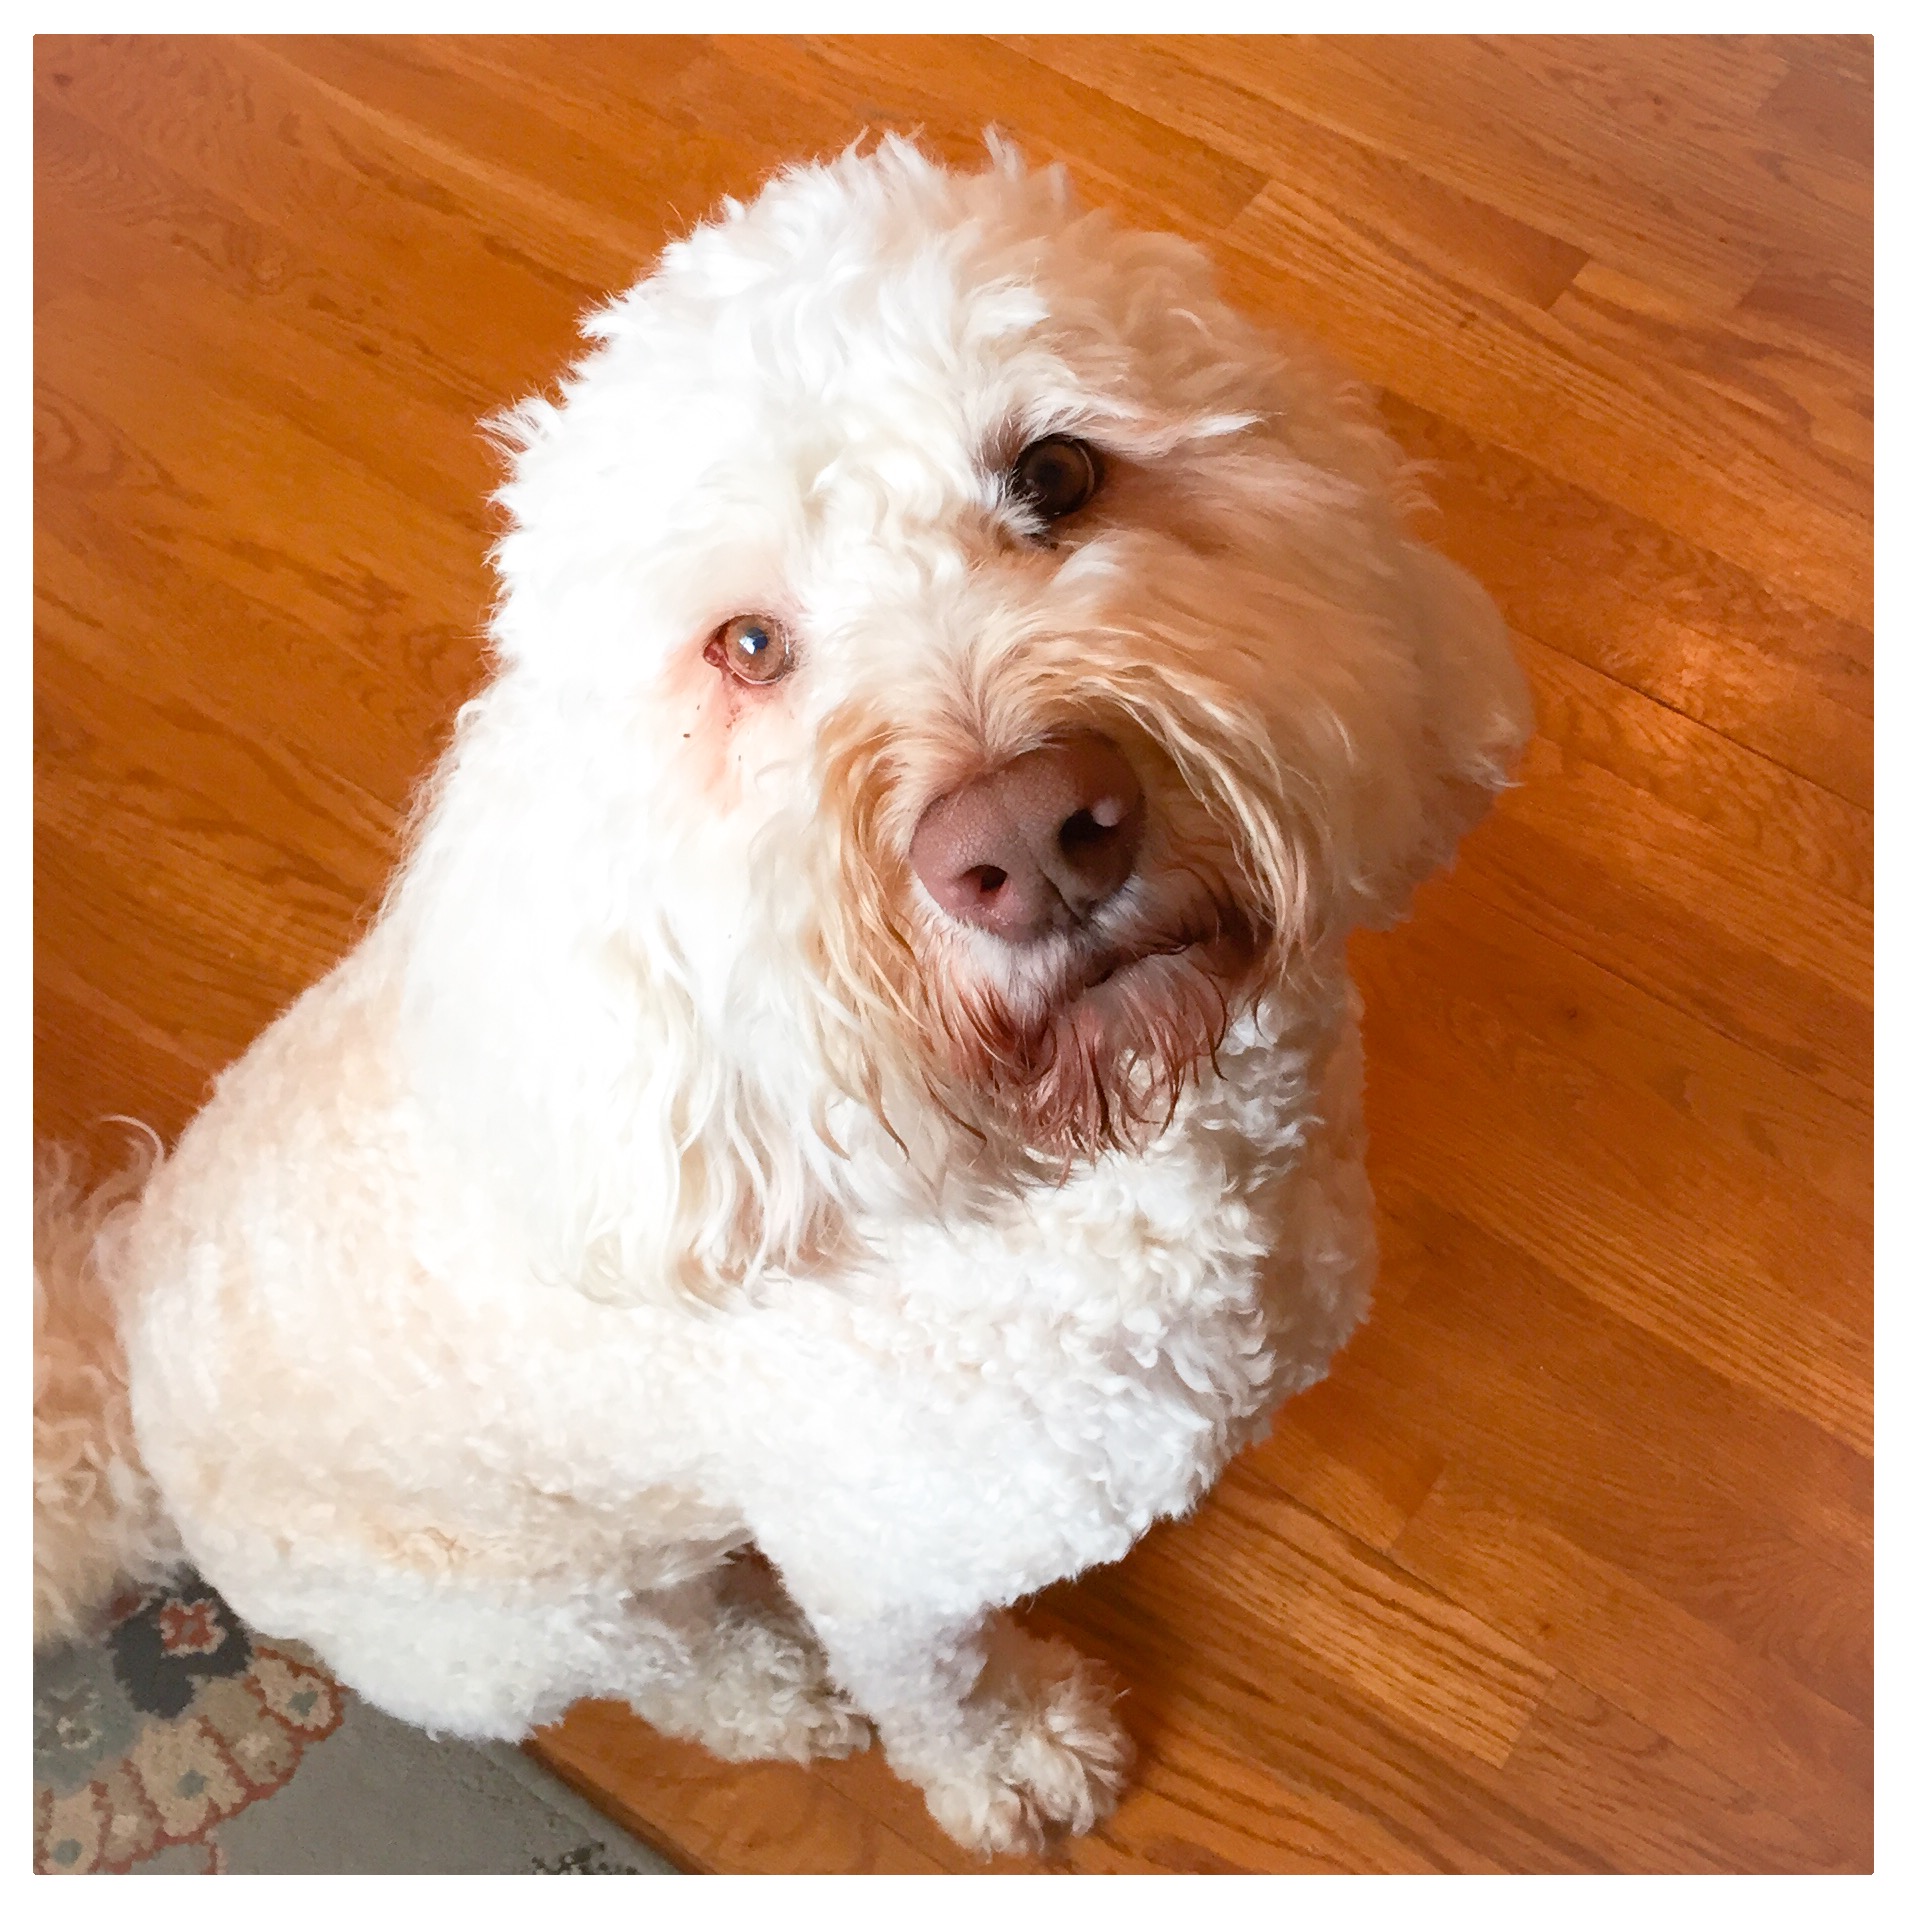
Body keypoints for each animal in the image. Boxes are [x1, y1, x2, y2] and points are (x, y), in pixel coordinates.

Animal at [34, 135, 1529, 1856]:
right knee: (664, 1659)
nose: (1034, 834)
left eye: (1057, 476)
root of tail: (124, 1374)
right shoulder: (887, 1566)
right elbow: (940, 1684)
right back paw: (769, 1695)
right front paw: (1013, 1761)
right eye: (747, 646)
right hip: (517, 1620)